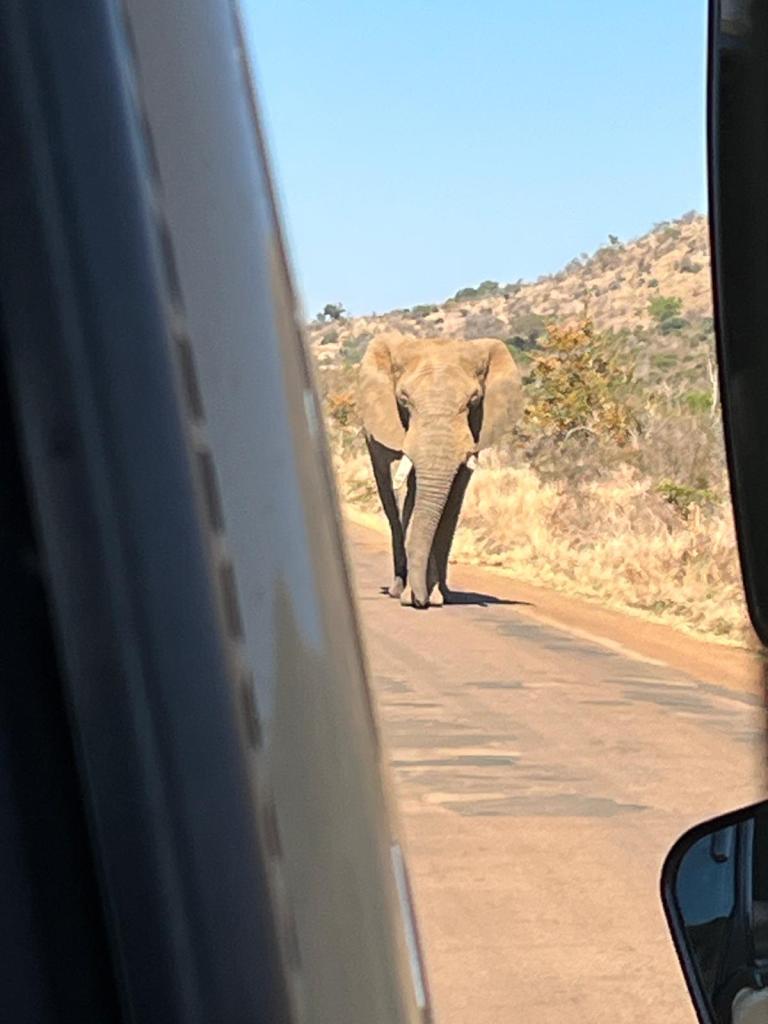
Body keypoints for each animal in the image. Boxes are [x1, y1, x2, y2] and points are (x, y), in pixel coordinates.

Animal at [357, 332, 522, 608]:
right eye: (403, 399)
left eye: (473, 400)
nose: (419, 601)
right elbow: (415, 497)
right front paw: (415, 596)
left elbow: (451, 499)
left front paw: (434, 596)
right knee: (389, 496)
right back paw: (398, 588)